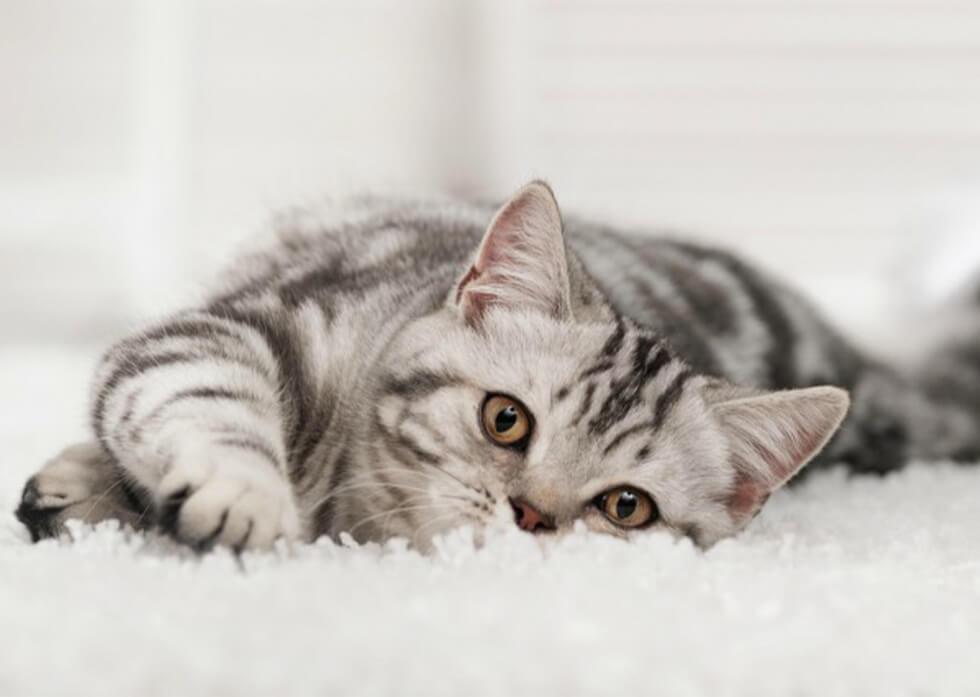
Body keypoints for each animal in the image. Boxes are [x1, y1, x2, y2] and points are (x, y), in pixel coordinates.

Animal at [15, 182, 980, 552]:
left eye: (624, 506)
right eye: (505, 418)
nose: (532, 515)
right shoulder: (239, 327)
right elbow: (204, 395)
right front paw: (244, 495)